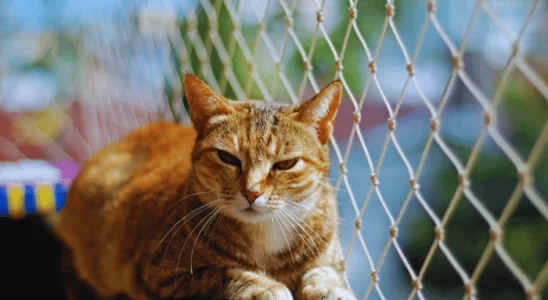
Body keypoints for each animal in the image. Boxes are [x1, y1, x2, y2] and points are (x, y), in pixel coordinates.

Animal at [56, 72, 356, 300]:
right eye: (228, 158)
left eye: (286, 164)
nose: (251, 192)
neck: (265, 237)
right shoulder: (159, 274)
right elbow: (220, 273)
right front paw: (263, 288)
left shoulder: (329, 257)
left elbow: (325, 273)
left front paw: (329, 289)